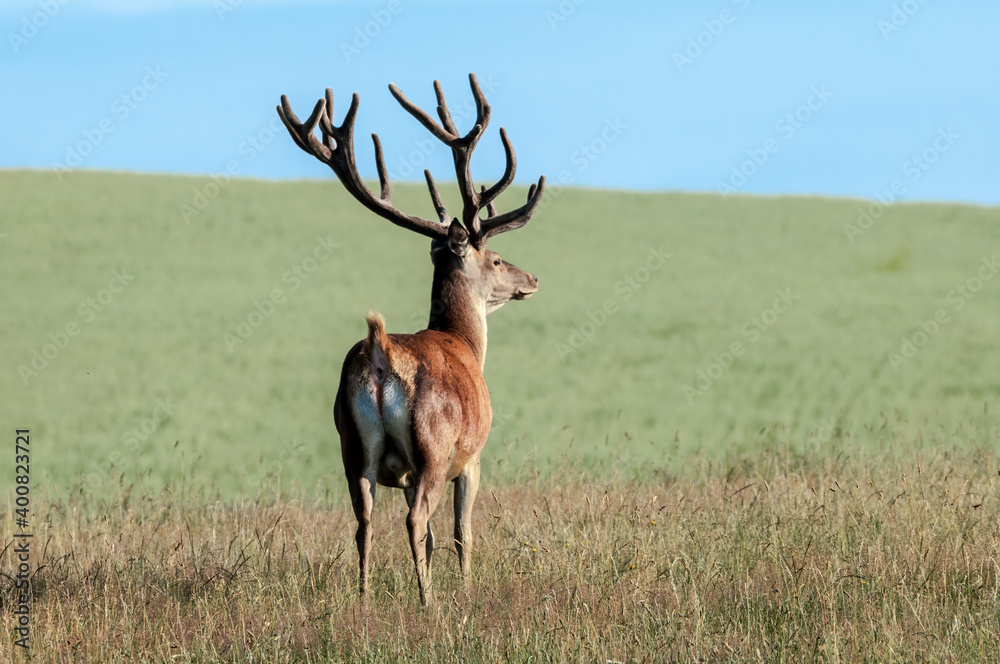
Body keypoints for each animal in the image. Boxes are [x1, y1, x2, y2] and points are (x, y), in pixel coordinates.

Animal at [276, 74, 545, 606]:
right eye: (496, 259)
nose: (532, 279)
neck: (464, 342)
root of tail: (379, 352)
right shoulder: (473, 457)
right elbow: (460, 532)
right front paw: (464, 587)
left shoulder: (397, 471)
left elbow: (435, 538)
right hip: (433, 448)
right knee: (415, 518)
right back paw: (428, 602)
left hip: (352, 443)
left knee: (364, 522)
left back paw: (362, 598)